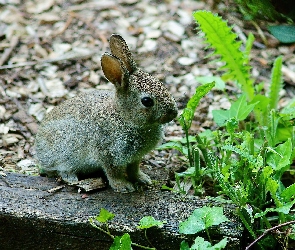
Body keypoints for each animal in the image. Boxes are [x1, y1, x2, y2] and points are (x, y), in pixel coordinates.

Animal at [34, 33, 178, 193]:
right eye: (147, 101)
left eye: (161, 84)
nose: (174, 113)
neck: (124, 118)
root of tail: (38, 148)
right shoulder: (108, 154)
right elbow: (113, 173)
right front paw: (123, 186)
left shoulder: (134, 158)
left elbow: (134, 170)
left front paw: (143, 179)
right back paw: (72, 178)